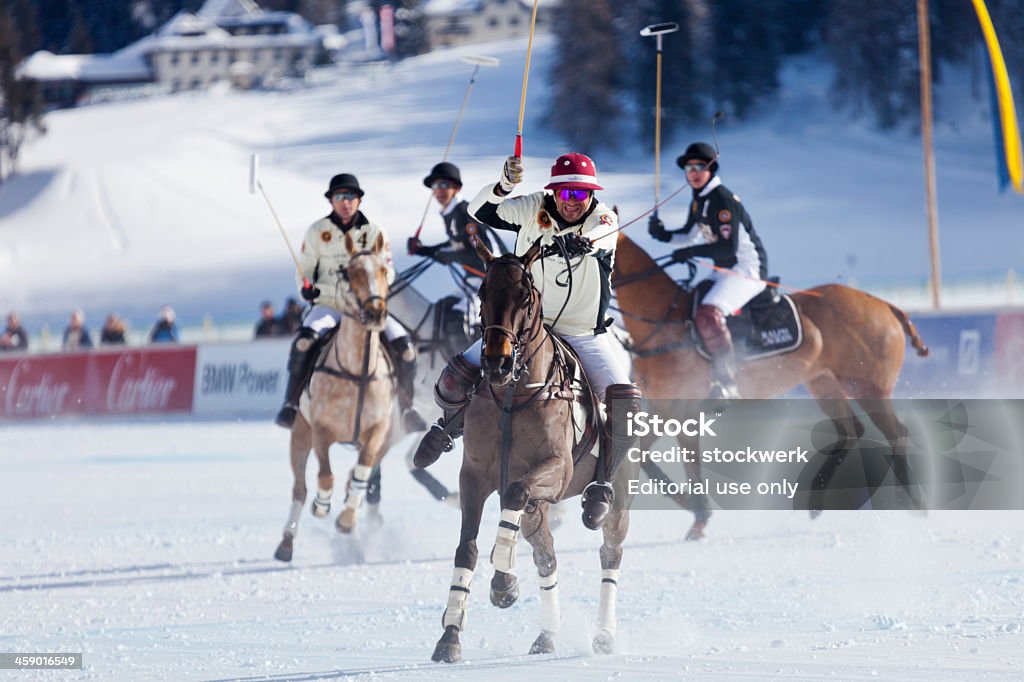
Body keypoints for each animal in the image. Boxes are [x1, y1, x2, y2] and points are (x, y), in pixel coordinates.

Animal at [272, 231, 395, 561]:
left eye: (384, 270)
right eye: (349, 273)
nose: (375, 313)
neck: (358, 372)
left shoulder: (378, 432)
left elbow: (361, 474)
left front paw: (346, 520)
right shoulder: (320, 430)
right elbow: (325, 477)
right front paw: (322, 506)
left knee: (359, 478)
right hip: (299, 433)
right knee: (299, 487)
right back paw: (286, 542)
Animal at [425, 237, 630, 659]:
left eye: (525, 296)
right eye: (482, 292)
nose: (497, 363)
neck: (512, 393)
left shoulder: (556, 469)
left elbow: (515, 494)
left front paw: (503, 582)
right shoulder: (473, 477)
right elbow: (467, 549)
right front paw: (450, 635)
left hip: (618, 499)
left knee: (610, 552)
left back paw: (604, 635)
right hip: (540, 507)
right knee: (545, 556)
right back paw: (546, 635)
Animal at [610, 233, 933, 536]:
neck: (663, 322)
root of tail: (885, 305)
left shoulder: (683, 411)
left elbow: (689, 464)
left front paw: (700, 519)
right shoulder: (662, 408)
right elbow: (642, 456)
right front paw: (691, 508)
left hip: (868, 387)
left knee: (896, 433)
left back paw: (913, 504)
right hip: (823, 383)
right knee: (852, 431)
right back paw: (815, 502)